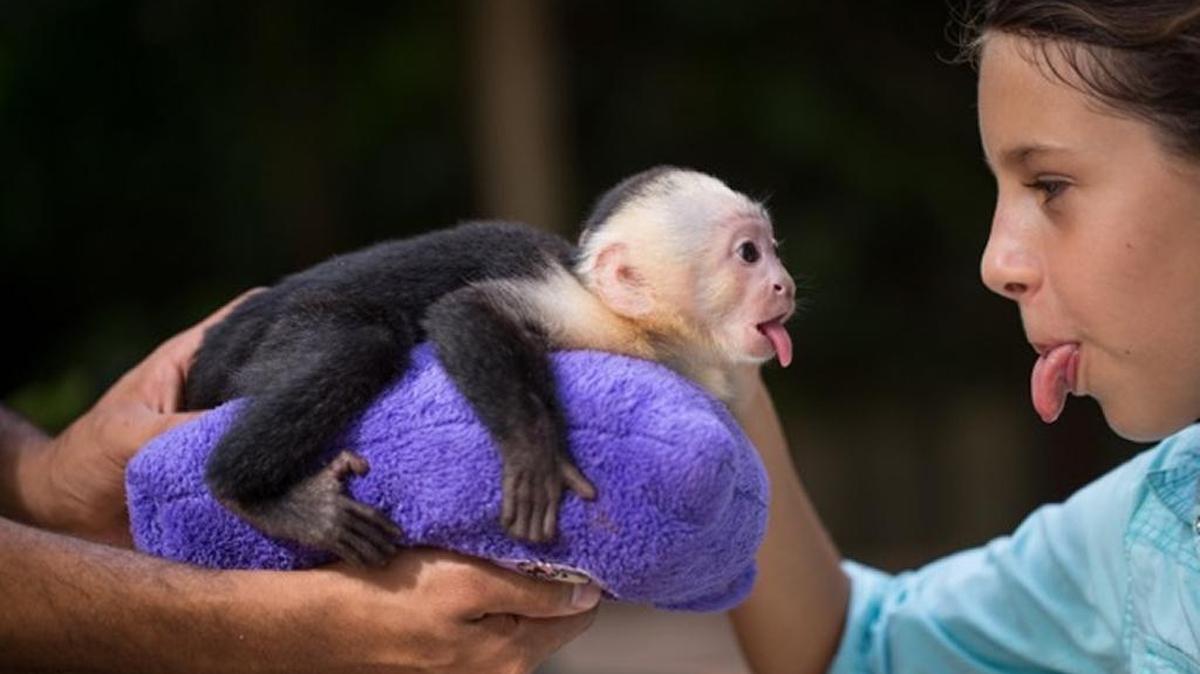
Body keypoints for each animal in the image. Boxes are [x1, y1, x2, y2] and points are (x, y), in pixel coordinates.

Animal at [183, 166, 796, 566]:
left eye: (774, 247)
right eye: (748, 254)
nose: (784, 284)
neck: (644, 328)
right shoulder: (590, 318)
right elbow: (466, 311)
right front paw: (534, 451)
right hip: (276, 339)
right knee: (359, 344)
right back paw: (251, 494)